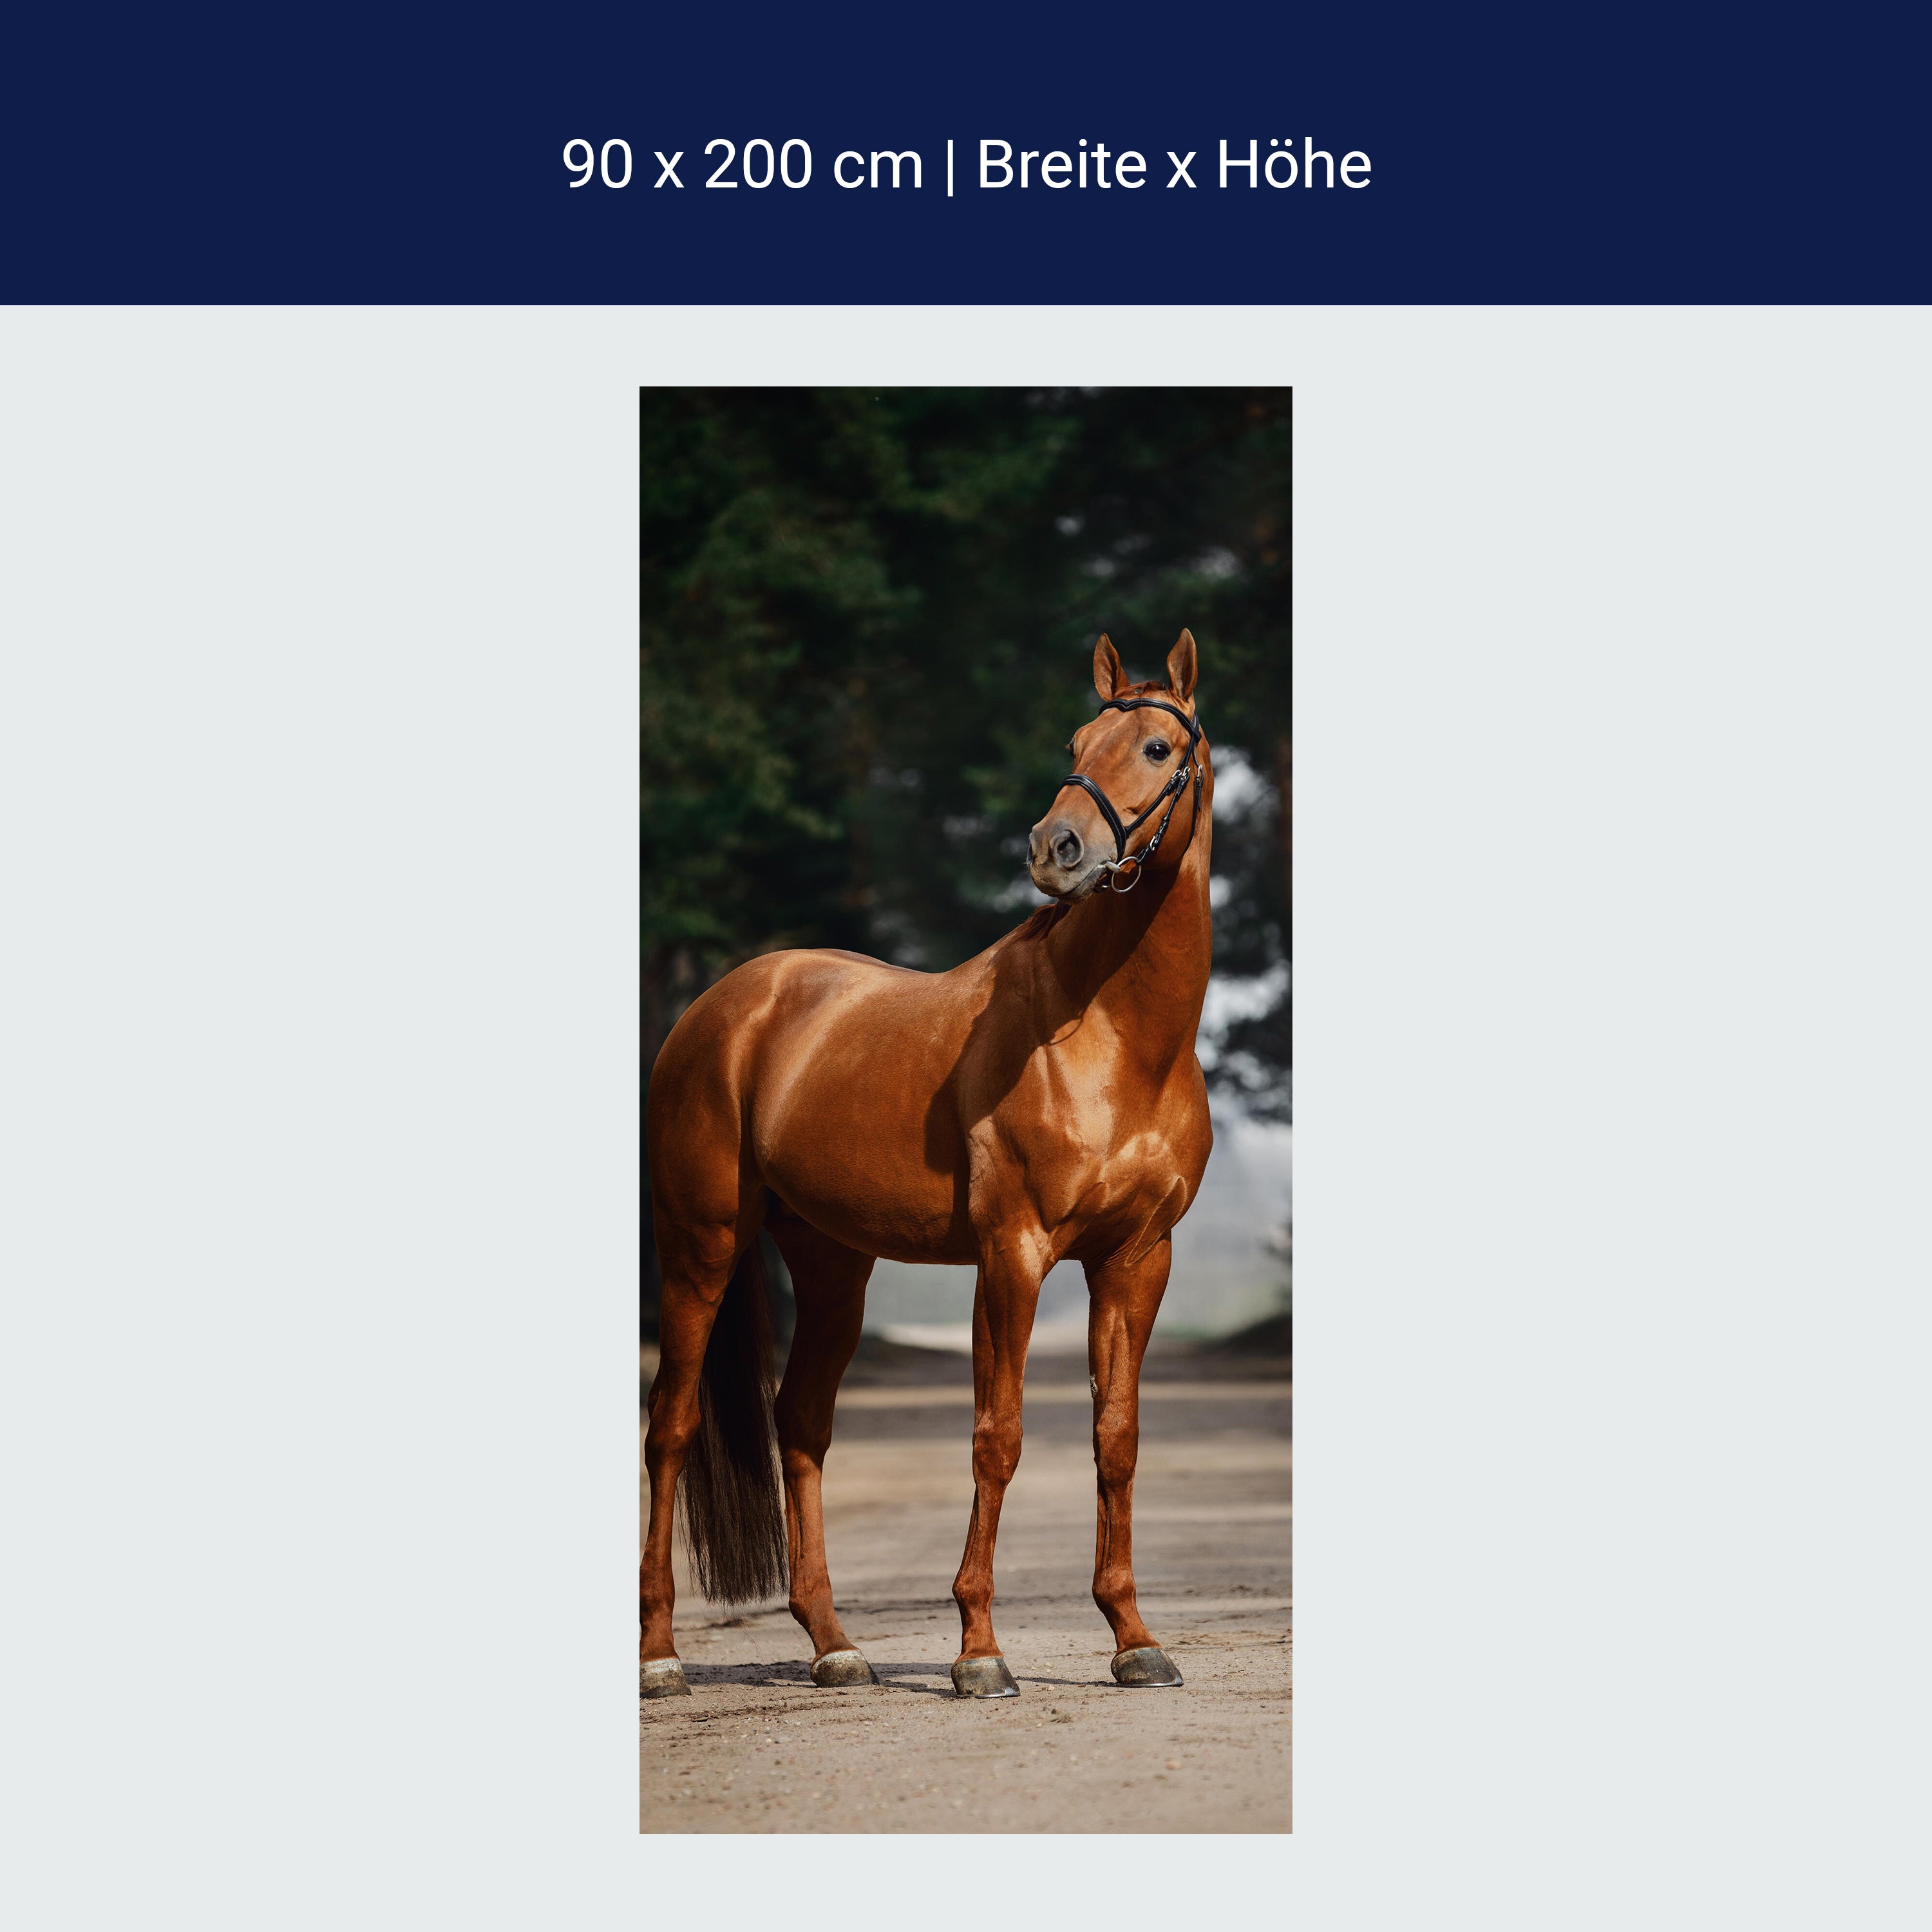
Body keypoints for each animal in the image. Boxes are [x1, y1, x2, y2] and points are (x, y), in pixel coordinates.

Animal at [641, 630, 1216, 1701]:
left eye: (1160, 748)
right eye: (1076, 741)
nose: (1056, 848)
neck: (1113, 1038)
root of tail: (726, 1004)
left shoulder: (1136, 1260)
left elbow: (1116, 1438)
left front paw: (1133, 1639)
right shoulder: (1013, 1255)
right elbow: (1000, 1436)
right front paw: (980, 1652)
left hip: (832, 1265)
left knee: (801, 1426)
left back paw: (835, 1648)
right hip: (702, 1249)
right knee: (672, 1427)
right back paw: (660, 1658)